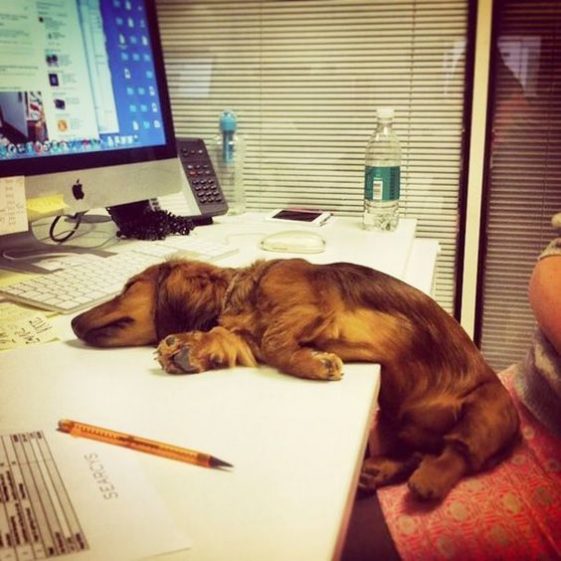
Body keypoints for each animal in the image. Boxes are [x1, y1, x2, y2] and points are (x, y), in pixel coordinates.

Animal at [72, 258, 520, 498]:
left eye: (128, 286)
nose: (73, 322)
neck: (242, 293)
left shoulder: (308, 308)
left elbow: (275, 341)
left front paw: (318, 363)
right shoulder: (244, 336)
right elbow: (230, 338)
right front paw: (186, 350)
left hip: (487, 408)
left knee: (455, 452)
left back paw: (428, 482)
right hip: (388, 426)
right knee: (412, 454)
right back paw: (375, 472)